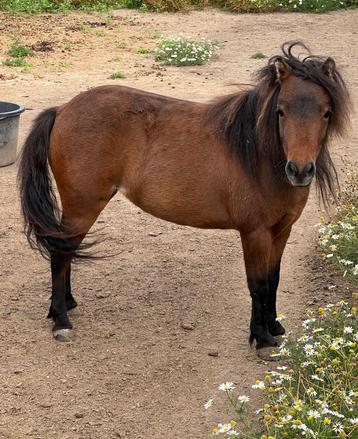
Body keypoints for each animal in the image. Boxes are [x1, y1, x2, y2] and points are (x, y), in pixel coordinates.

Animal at [18, 43, 348, 348]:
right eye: (281, 111)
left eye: (326, 112)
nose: (300, 170)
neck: (257, 154)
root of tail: (63, 109)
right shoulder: (255, 233)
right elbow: (257, 284)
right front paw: (261, 338)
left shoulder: (281, 231)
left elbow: (273, 280)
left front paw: (274, 326)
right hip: (82, 206)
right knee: (61, 253)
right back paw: (61, 320)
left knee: (65, 251)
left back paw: (66, 304)